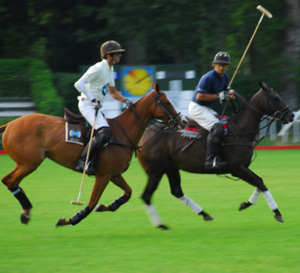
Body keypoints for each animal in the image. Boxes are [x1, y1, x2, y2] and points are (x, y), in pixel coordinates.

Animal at [0, 83, 180, 225]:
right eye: (166, 102)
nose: (181, 120)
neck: (123, 133)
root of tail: (10, 124)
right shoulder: (103, 175)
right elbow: (92, 202)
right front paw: (69, 220)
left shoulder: (114, 174)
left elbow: (128, 192)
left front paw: (108, 206)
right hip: (30, 162)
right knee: (9, 180)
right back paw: (27, 211)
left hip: (27, 162)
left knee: (11, 181)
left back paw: (26, 213)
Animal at [135, 82, 292, 228]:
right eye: (276, 98)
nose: (291, 115)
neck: (240, 131)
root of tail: (143, 136)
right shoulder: (238, 168)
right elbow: (260, 182)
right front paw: (277, 212)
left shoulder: (241, 169)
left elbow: (259, 182)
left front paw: (246, 204)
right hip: (155, 171)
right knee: (146, 195)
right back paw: (160, 225)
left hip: (170, 168)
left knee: (177, 191)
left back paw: (204, 214)